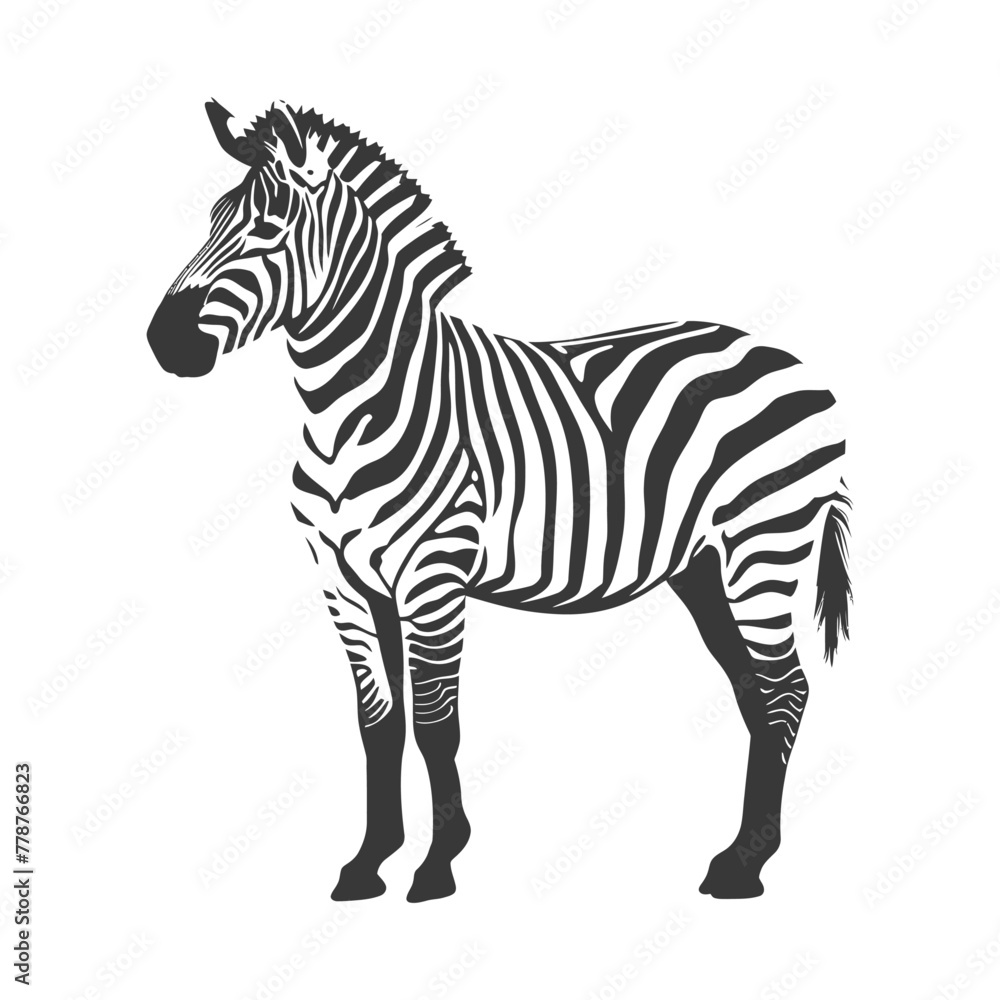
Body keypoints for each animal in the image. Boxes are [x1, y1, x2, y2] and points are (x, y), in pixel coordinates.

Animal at [147, 101, 852, 901]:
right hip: (703, 567)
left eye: (269, 227)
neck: (347, 412)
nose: (163, 341)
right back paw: (739, 855)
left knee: (785, 689)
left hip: (765, 544)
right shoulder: (343, 582)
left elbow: (435, 722)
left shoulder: (433, 574)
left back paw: (746, 867)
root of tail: (790, 360)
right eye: (211, 218)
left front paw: (436, 863)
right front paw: (368, 862)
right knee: (757, 693)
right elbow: (378, 723)